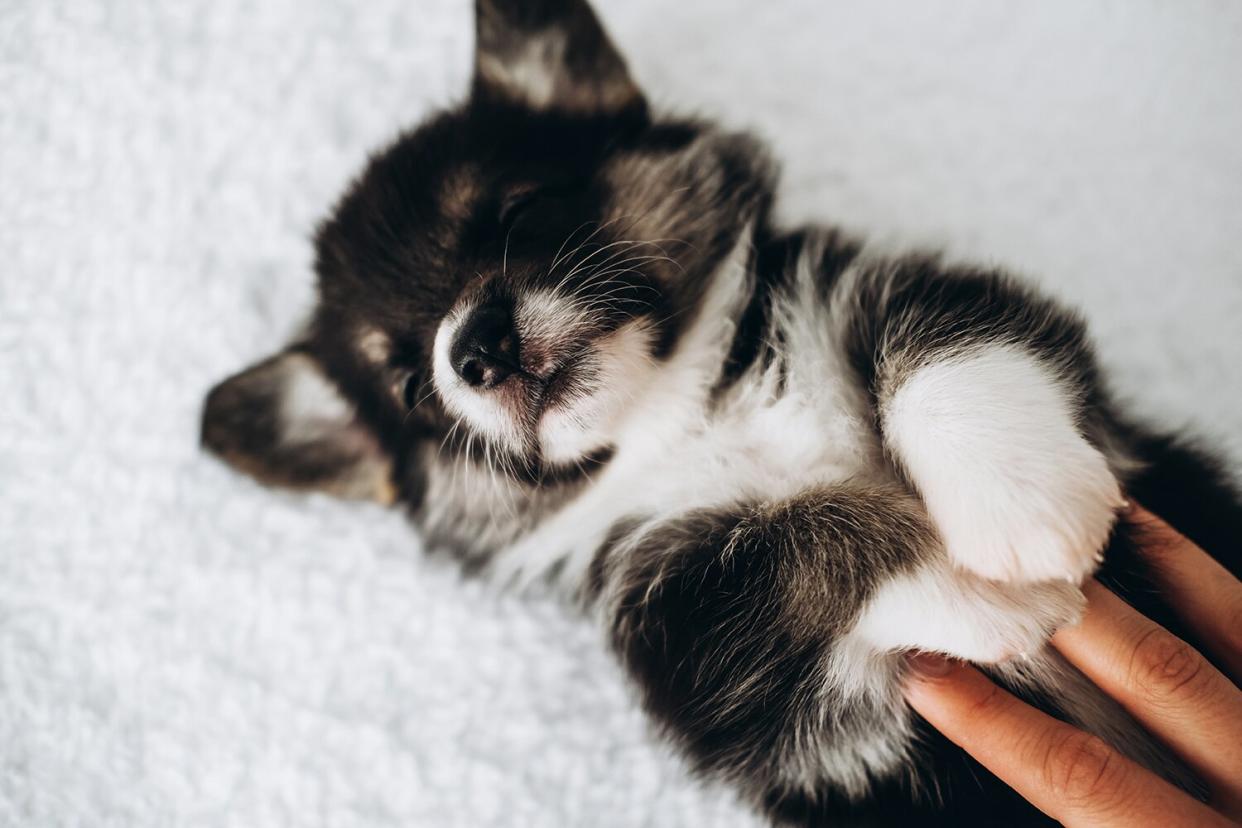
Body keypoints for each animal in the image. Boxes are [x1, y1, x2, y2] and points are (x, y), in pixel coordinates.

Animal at [201, 3, 1242, 824]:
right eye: (412, 389)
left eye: (521, 213)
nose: (474, 350)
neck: (691, 411)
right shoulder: (701, 641)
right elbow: (779, 549)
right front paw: (988, 590)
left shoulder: (898, 291)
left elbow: (943, 341)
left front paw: (1022, 502)